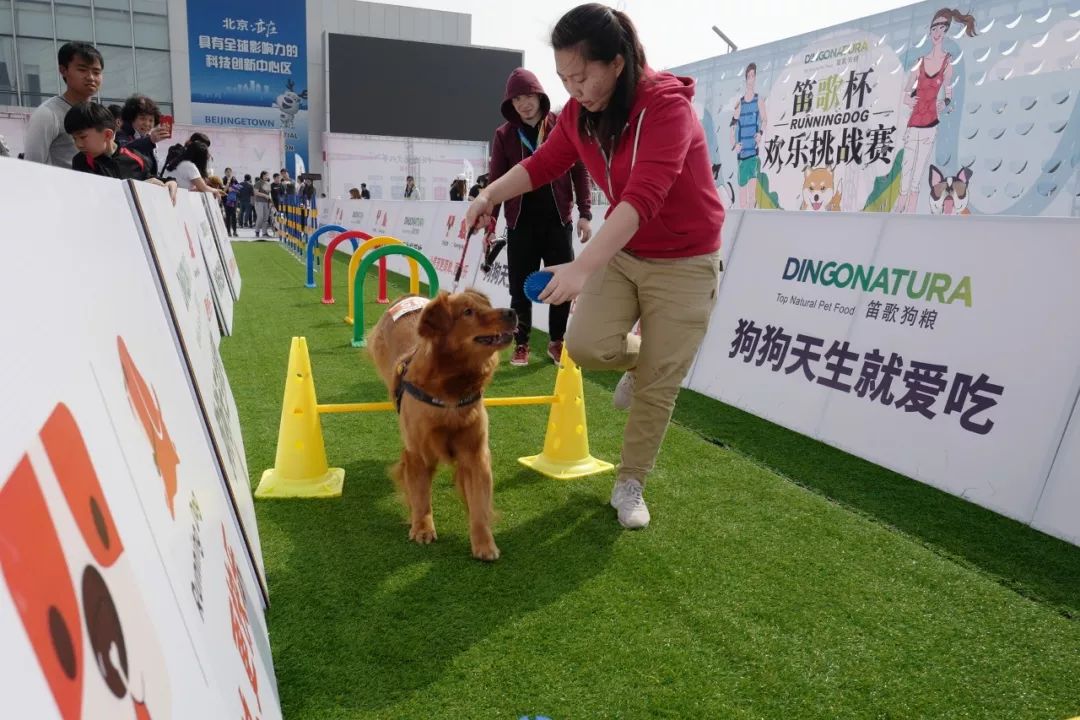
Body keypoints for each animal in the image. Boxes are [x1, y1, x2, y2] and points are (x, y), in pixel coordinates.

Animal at [369, 289, 516, 561]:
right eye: (468, 312)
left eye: (487, 305)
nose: (512, 312)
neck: (451, 389)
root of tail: (408, 295)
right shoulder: (418, 453)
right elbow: (420, 495)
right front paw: (422, 527)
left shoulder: (475, 454)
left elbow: (479, 505)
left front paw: (484, 543)